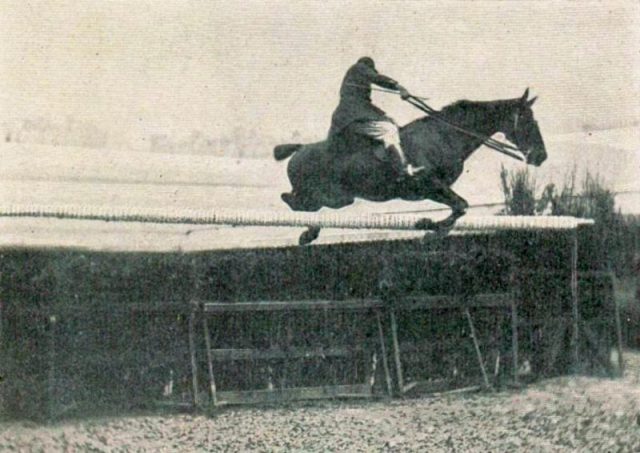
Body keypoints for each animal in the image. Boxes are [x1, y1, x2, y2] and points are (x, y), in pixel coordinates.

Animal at [272, 88, 548, 244]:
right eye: (528, 122)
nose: (541, 157)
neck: (445, 135)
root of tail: (299, 149)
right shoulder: (428, 185)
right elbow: (461, 205)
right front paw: (430, 230)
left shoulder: (434, 189)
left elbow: (459, 208)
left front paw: (431, 227)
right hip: (332, 196)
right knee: (294, 200)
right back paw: (308, 233)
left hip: (337, 198)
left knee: (300, 203)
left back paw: (309, 232)